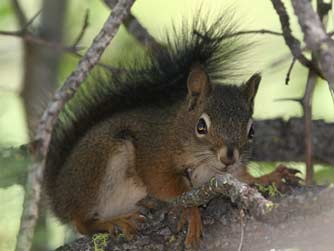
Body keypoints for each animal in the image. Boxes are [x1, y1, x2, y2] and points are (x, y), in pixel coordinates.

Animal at [43, 14, 300, 248]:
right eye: (201, 126)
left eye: (251, 131)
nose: (229, 157)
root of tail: (58, 194)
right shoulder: (156, 157)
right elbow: (170, 188)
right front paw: (192, 215)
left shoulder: (231, 172)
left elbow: (245, 180)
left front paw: (272, 176)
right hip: (98, 163)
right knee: (81, 221)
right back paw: (113, 221)